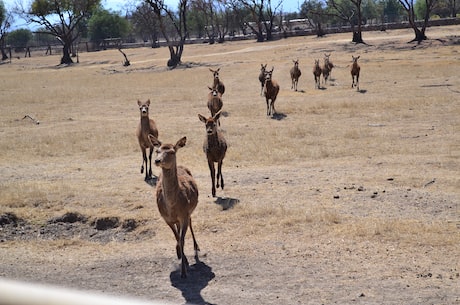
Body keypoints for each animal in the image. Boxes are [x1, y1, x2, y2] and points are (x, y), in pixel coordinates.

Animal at [147, 134, 198, 276]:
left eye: (171, 152)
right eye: (157, 150)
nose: (157, 160)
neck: (172, 207)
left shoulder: (184, 214)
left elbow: (182, 239)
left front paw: (184, 272)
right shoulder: (166, 219)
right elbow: (176, 237)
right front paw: (182, 258)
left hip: (189, 212)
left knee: (190, 223)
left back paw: (196, 247)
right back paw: (179, 253)